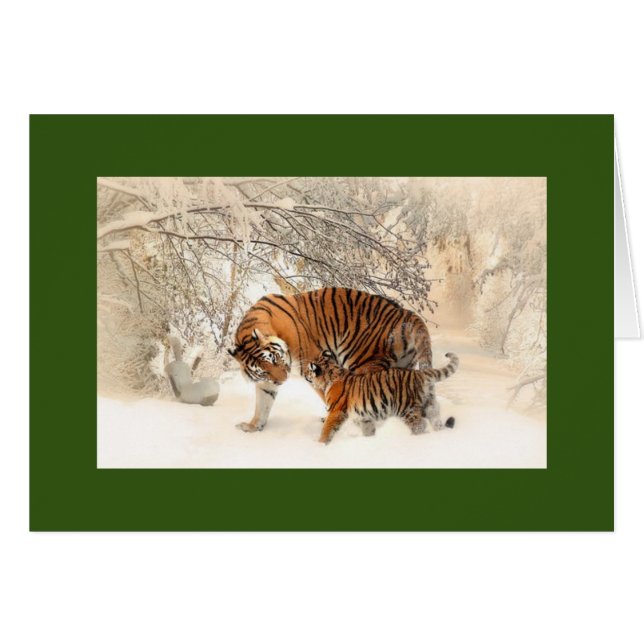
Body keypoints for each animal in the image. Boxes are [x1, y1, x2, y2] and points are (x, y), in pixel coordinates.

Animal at [228, 287, 438, 433]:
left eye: (274, 359)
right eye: (263, 370)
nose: (282, 380)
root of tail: (407, 314)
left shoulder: (313, 364)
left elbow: (330, 394)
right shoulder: (266, 382)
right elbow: (263, 403)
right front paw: (253, 426)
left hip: (364, 363)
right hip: (402, 367)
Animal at [305, 351, 459, 444]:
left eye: (309, 370)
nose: (306, 376)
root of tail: (419, 373)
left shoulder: (335, 411)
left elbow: (327, 429)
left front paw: (320, 444)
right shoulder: (364, 417)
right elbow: (368, 430)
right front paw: (369, 441)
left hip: (407, 409)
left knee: (419, 426)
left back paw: (412, 440)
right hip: (429, 405)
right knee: (436, 421)